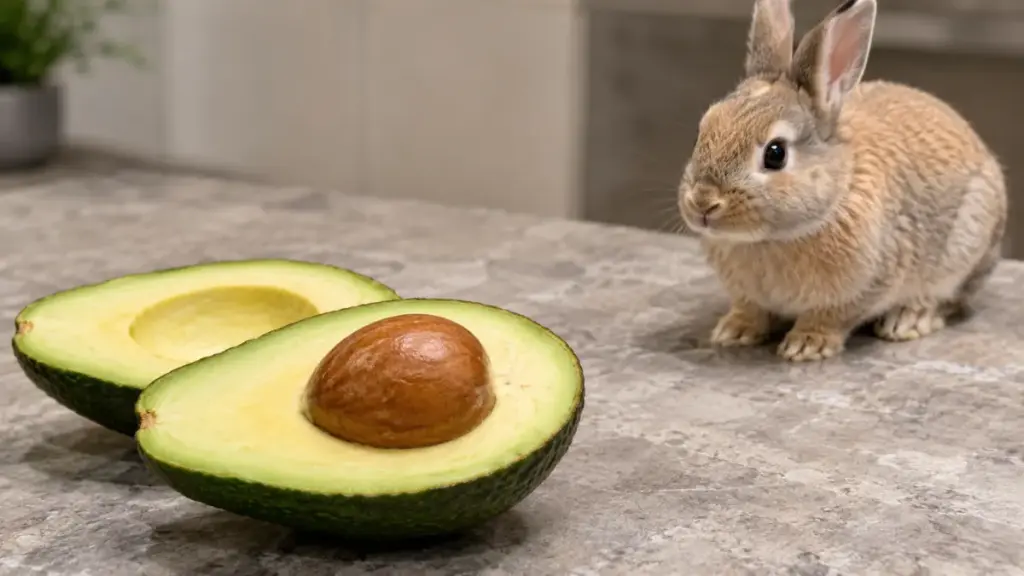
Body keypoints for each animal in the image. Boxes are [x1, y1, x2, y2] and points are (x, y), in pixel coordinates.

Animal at [676, 0, 1008, 362]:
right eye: (701, 133)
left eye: (776, 154)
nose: (703, 202)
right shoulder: (748, 294)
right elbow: (751, 309)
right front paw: (733, 331)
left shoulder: (867, 285)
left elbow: (832, 316)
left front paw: (807, 344)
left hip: (966, 250)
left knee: (950, 298)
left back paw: (908, 320)